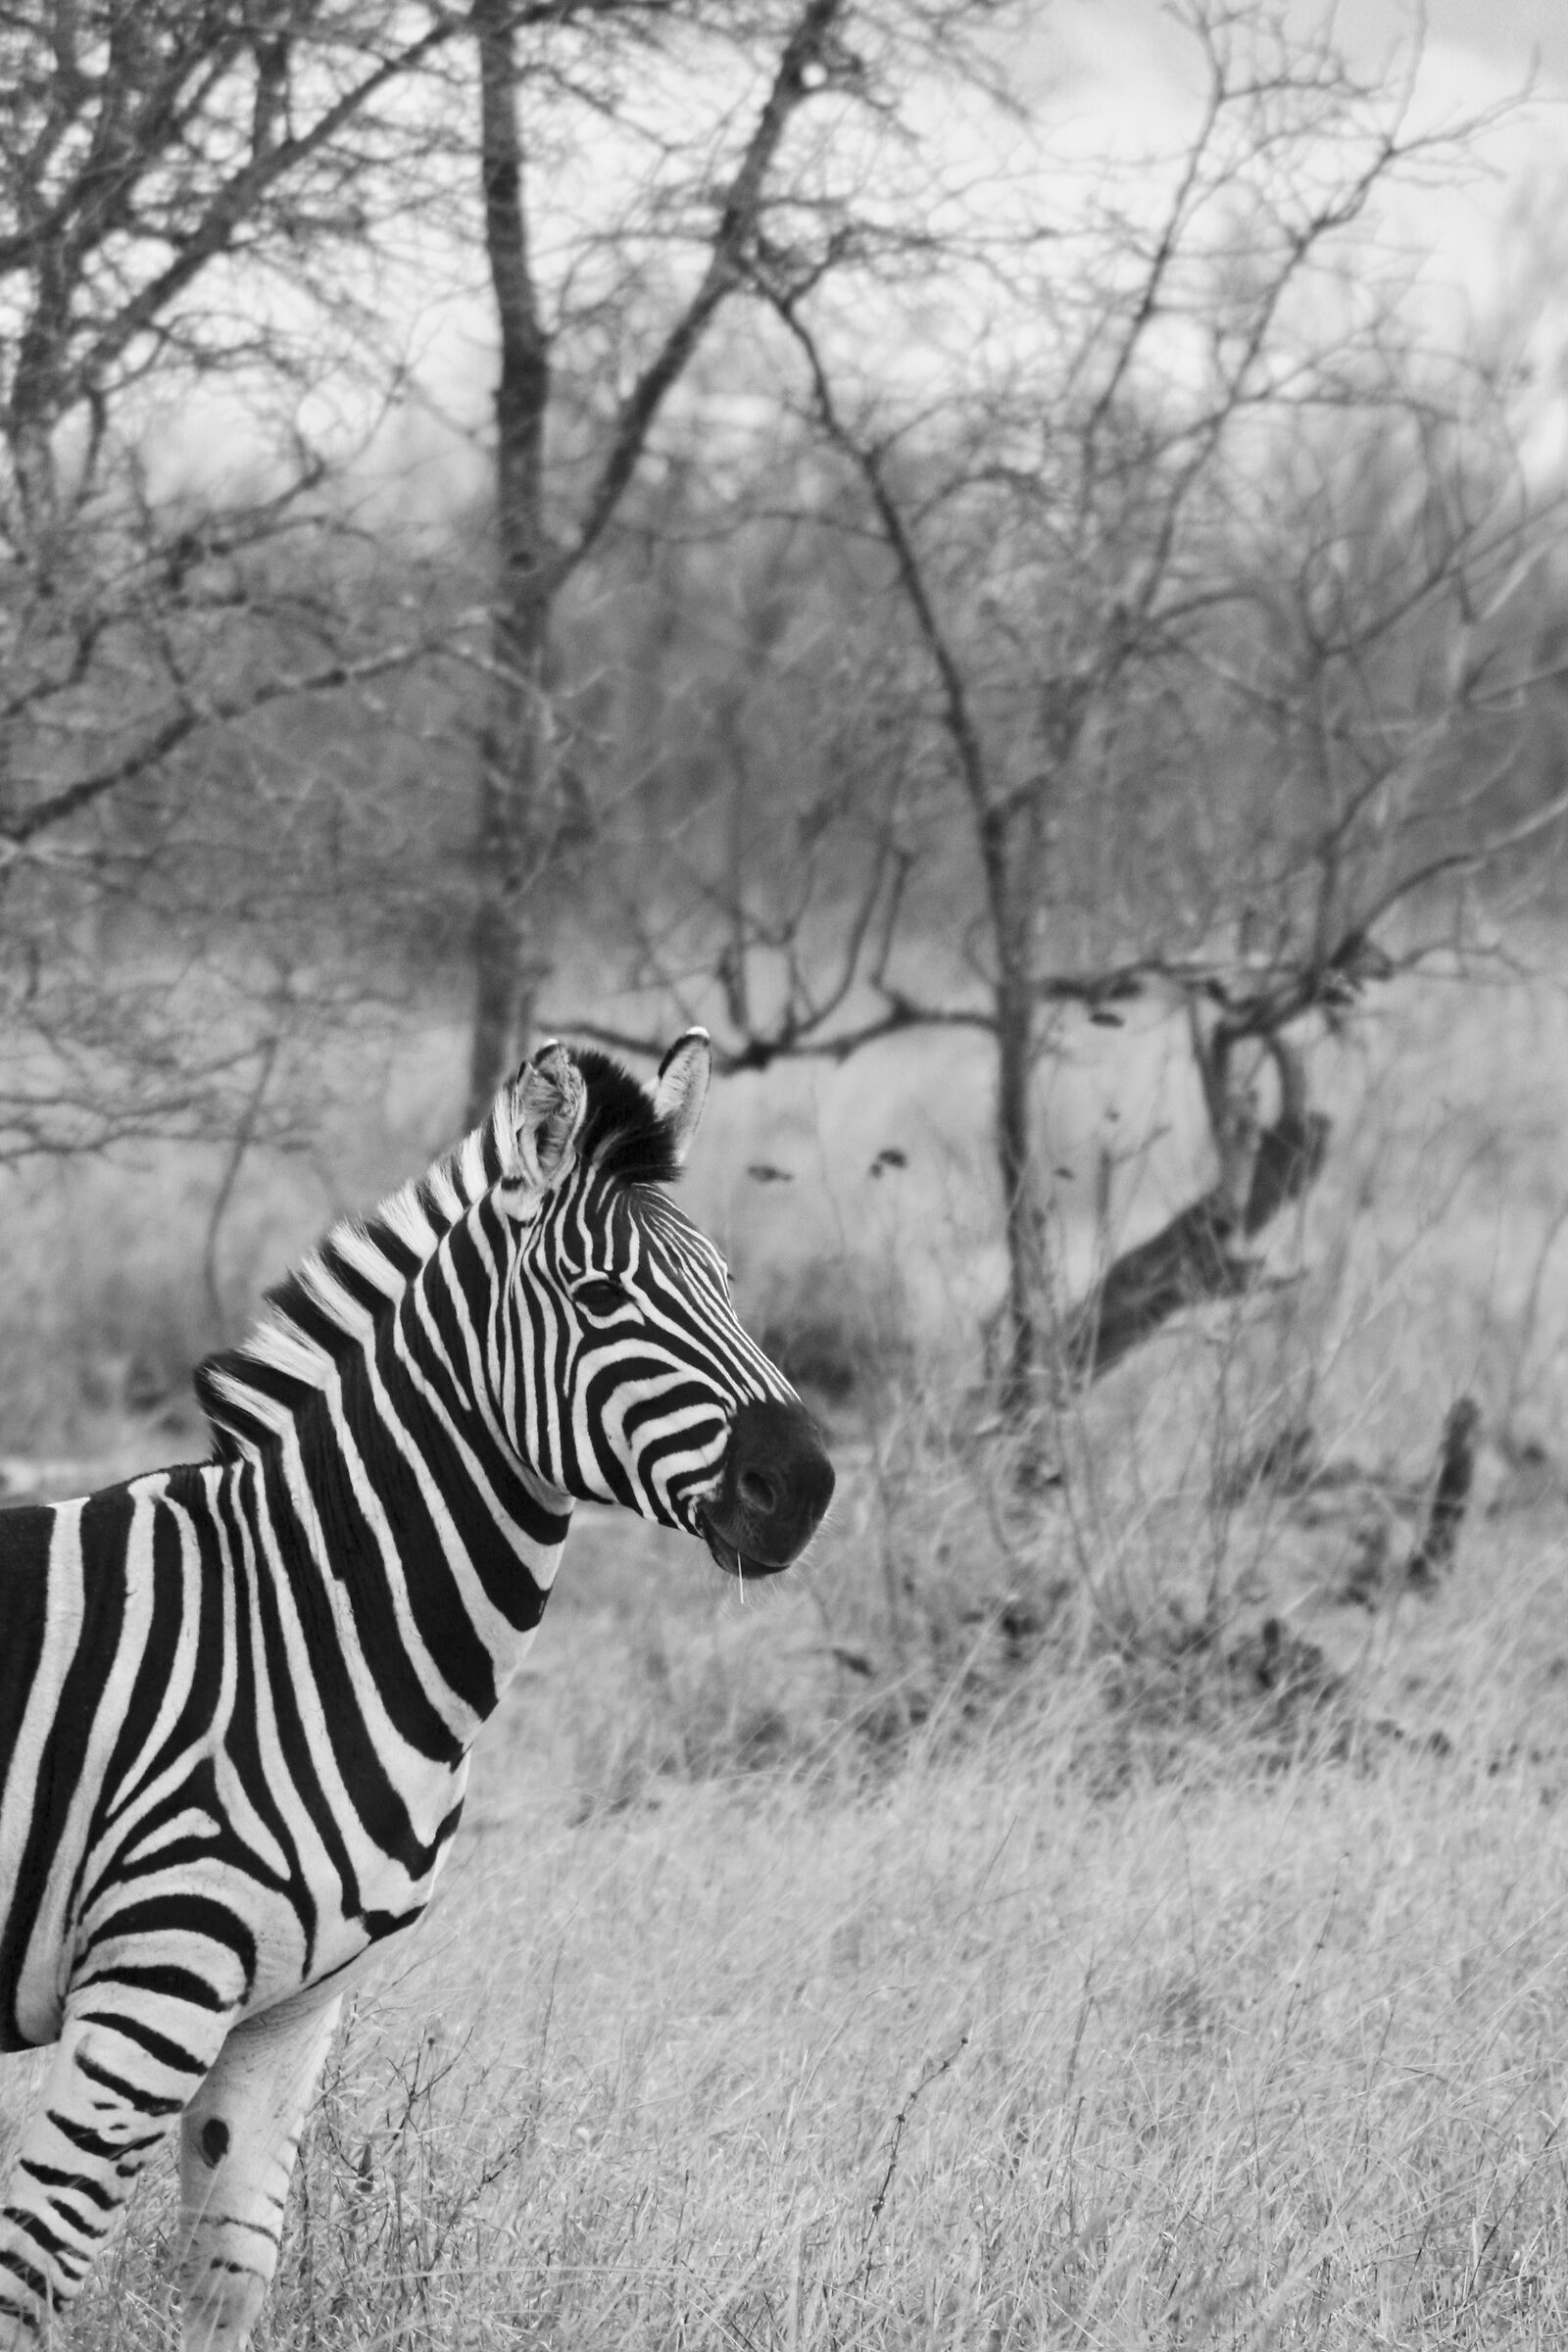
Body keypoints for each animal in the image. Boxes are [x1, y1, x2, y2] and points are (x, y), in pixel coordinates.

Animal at [0, 1029, 833, 2349]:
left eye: (728, 1282)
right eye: (598, 1299)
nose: (803, 1487)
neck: (300, 1620)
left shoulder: (285, 2016)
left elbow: (230, 2284)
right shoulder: (150, 1985)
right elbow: (31, 2277)